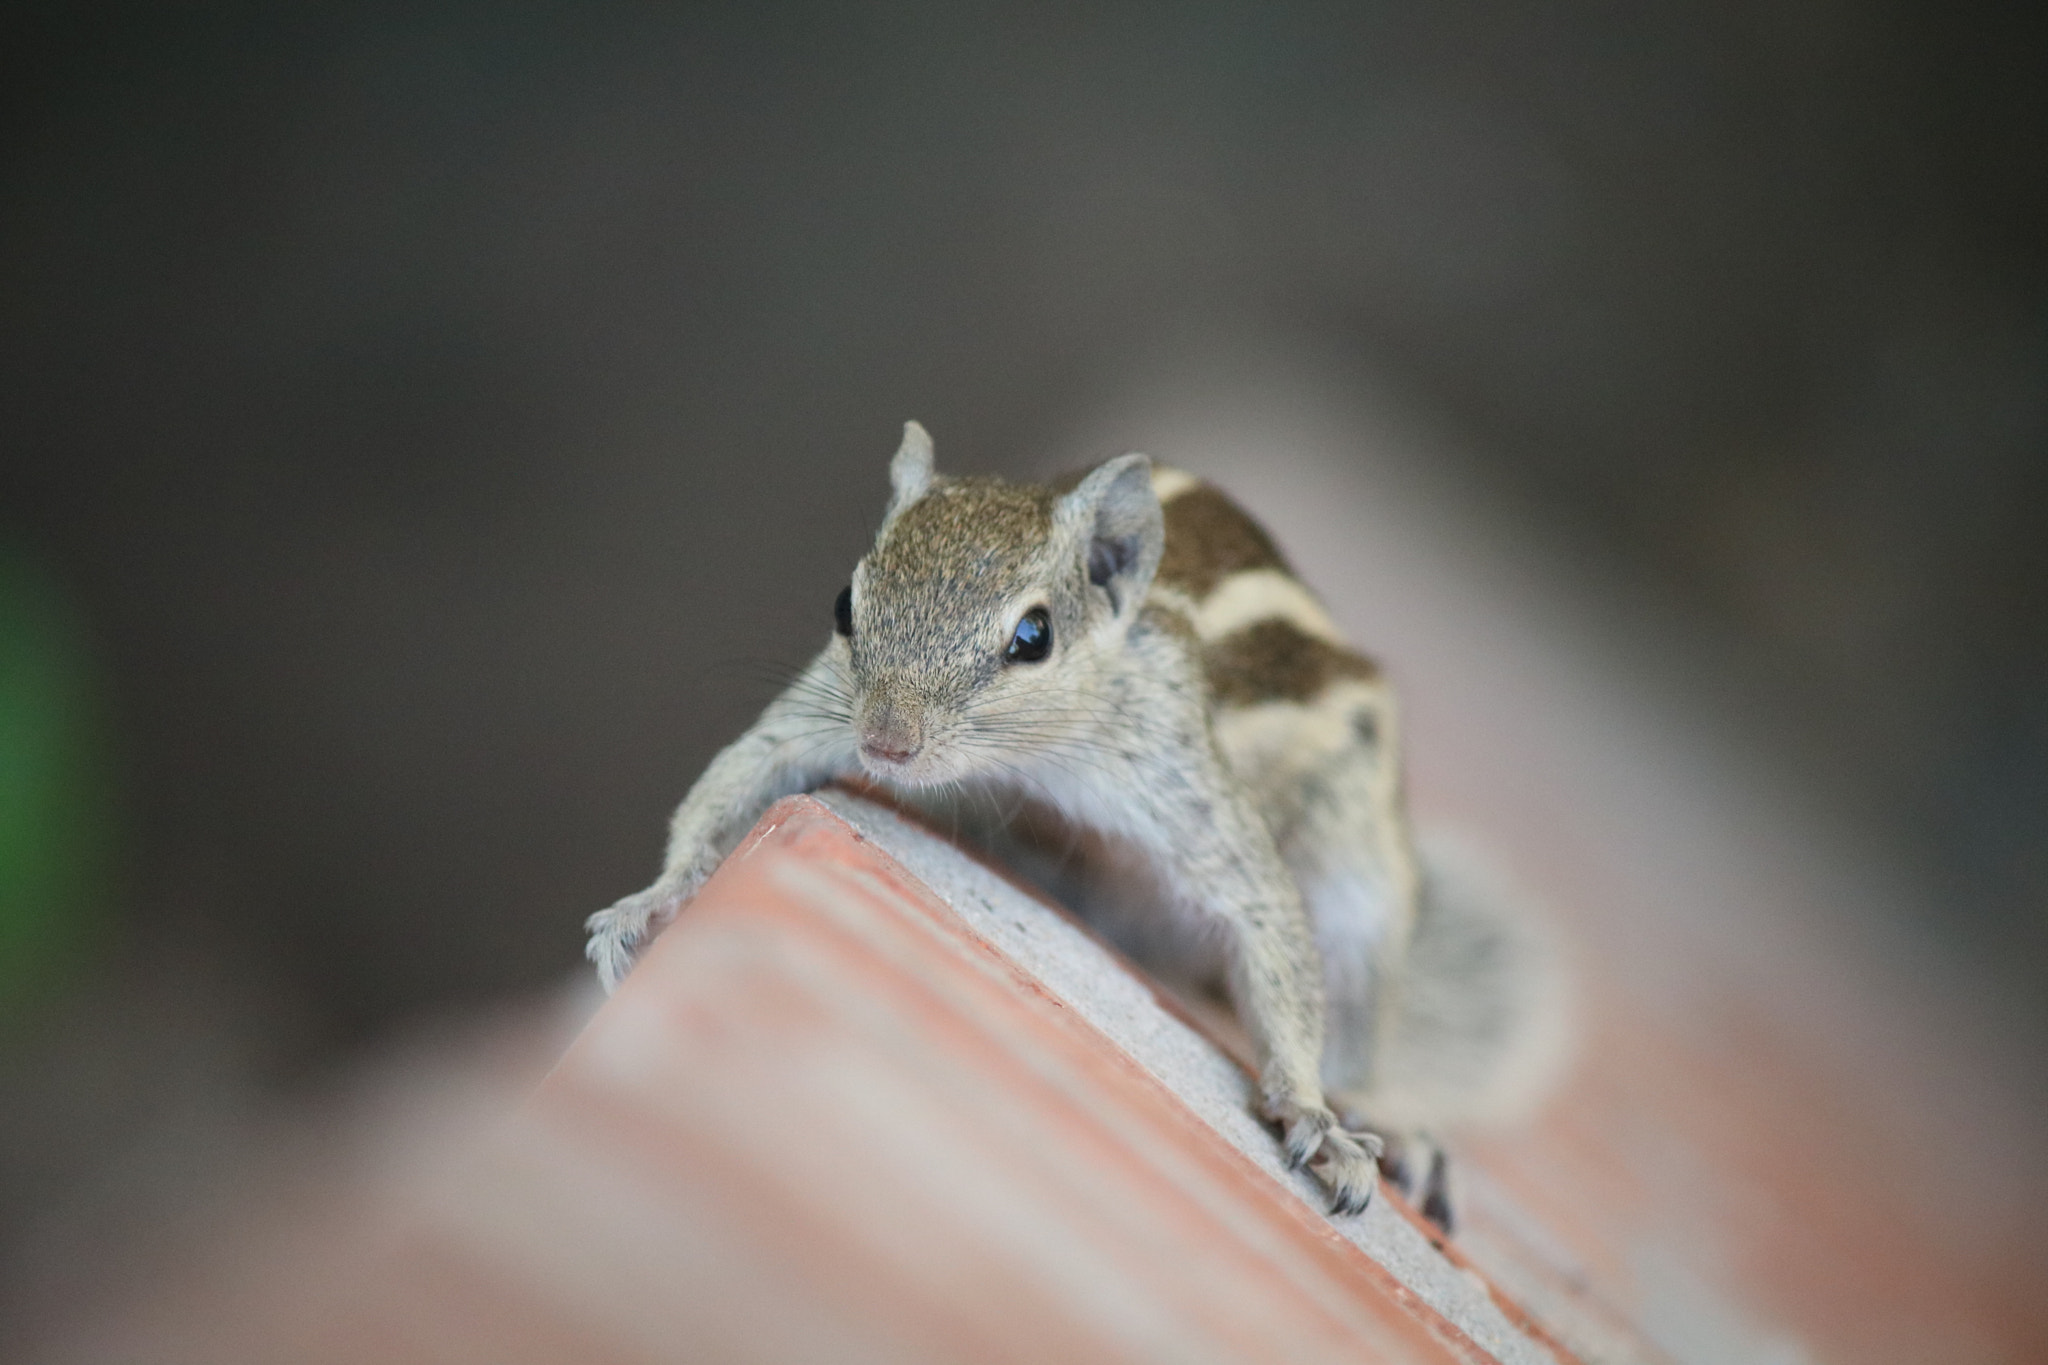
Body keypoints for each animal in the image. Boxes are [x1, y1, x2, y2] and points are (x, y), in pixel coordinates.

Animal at [587, 421, 1568, 1222]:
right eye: (843, 603)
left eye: (1033, 637)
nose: (887, 743)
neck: (1035, 757)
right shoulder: (818, 714)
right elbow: (745, 767)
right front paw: (650, 902)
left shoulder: (1183, 770)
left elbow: (1269, 922)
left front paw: (1311, 1114)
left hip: (1361, 874)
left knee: (1360, 1017)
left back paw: (1387, 1120)